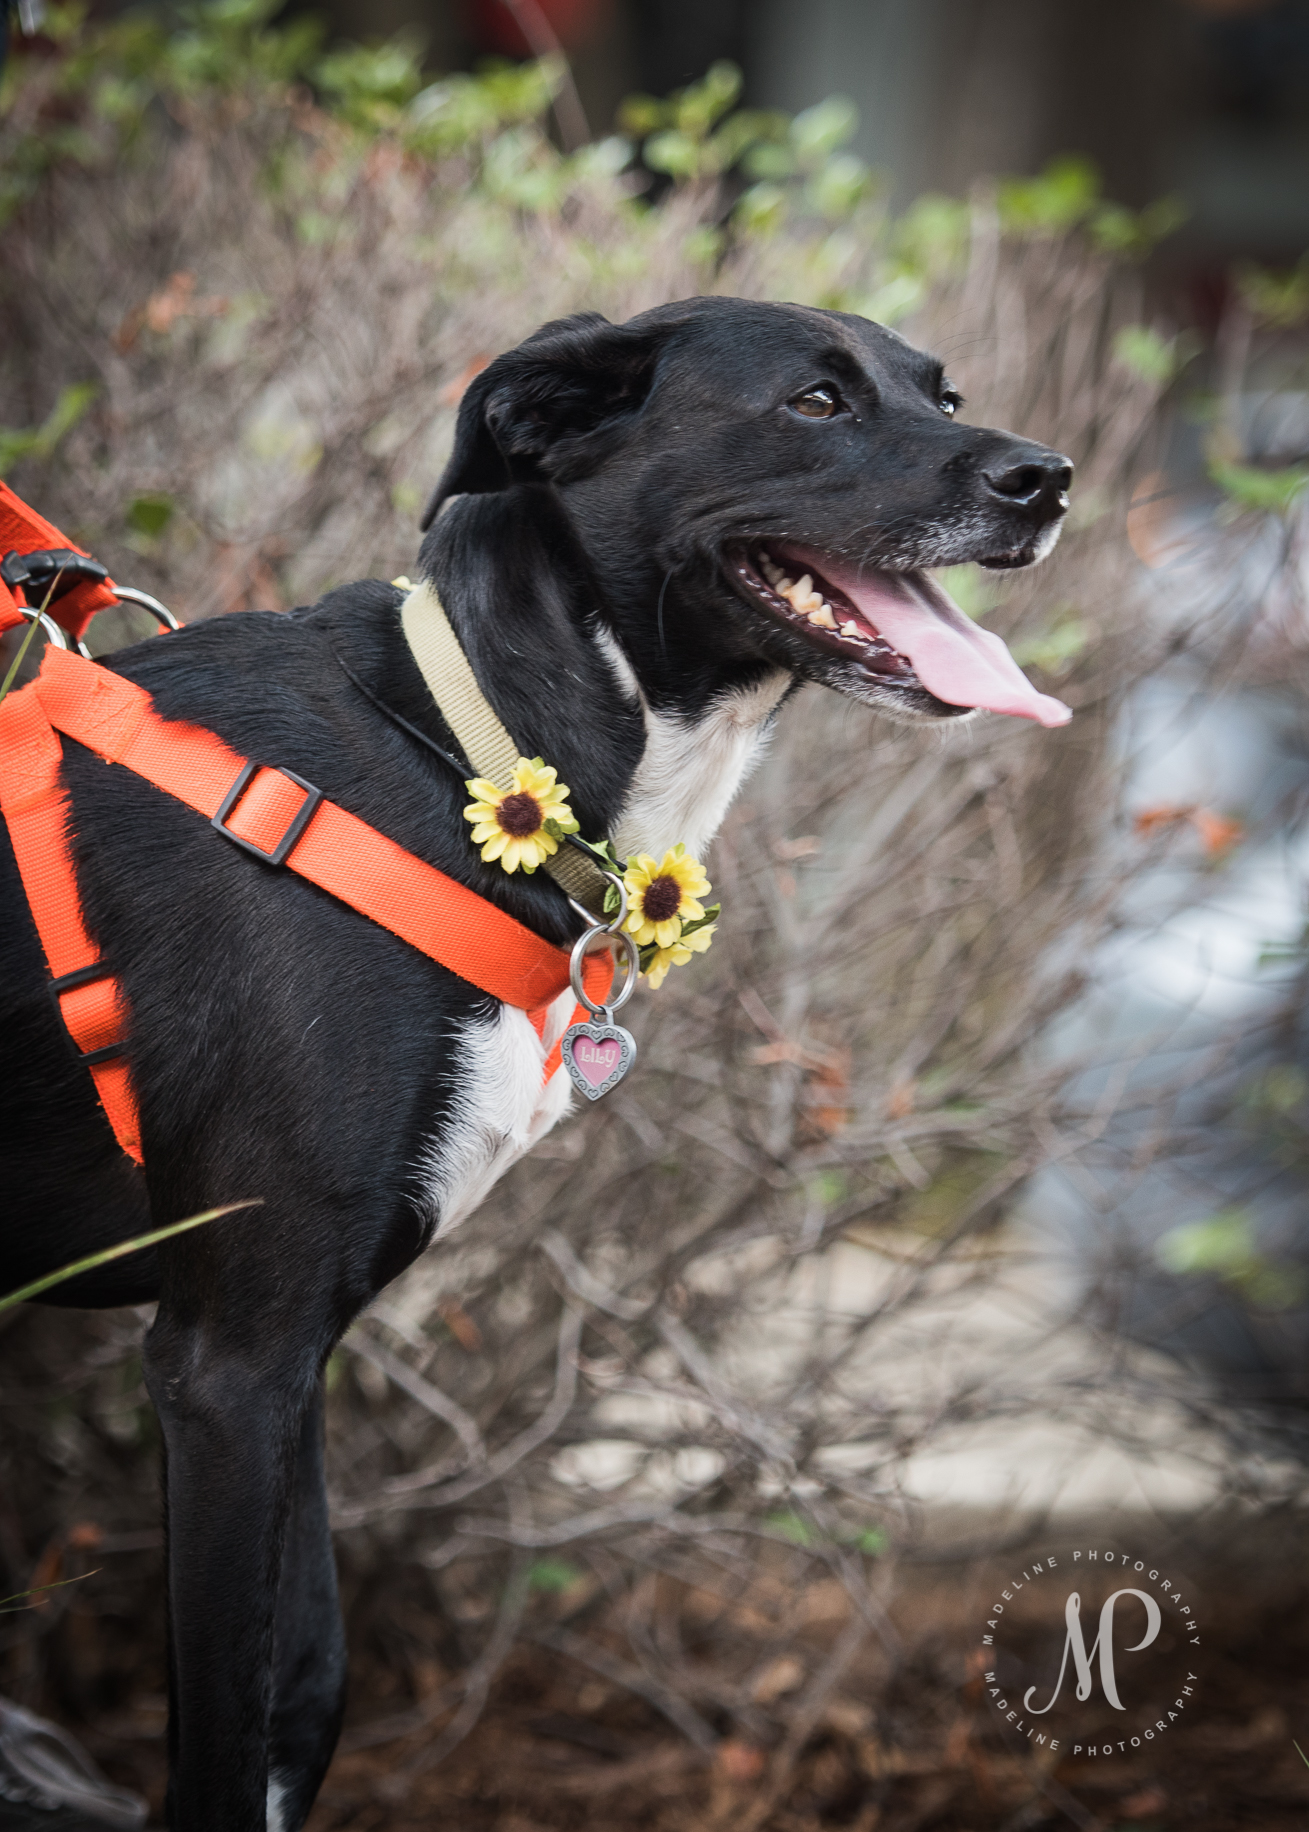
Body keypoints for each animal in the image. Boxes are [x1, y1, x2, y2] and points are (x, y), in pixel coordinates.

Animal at [2, 304, 1076, 1832]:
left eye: (943, 391)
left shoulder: (289, 1356)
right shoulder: (226, 1358)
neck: (457, 748)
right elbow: (220, 1744)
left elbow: (302, 1684)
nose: (1045, 480)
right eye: (815, 400)